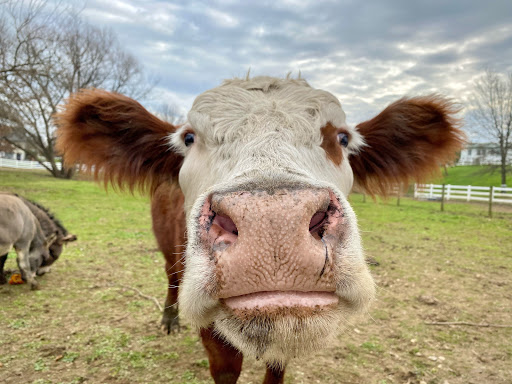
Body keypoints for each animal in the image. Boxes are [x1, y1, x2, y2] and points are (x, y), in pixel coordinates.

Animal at [55, 76, 464, 384]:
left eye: (342, 138)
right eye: (189, 138)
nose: (273, 222)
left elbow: (276, 370)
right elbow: (226, 368)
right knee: (171, 278)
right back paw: (169, 318)